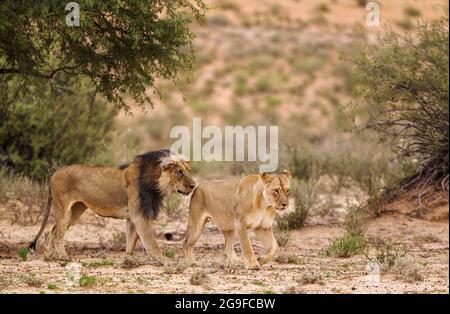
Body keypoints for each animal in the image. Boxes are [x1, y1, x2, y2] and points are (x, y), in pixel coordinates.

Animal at [28, 149, 195, 258]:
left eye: (189, 170)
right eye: (180, 172)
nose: (193, 185)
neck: (155, 184)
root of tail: (55, 173)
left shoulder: (132, 217)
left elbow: (131, 242)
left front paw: (128, 259)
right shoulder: (139, 215)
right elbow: (152, 243)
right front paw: (165, 261)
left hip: (75, 210)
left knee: (53, 231)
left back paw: (50, 254)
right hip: (63, 209)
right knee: (58, 234)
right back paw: (62, 257)